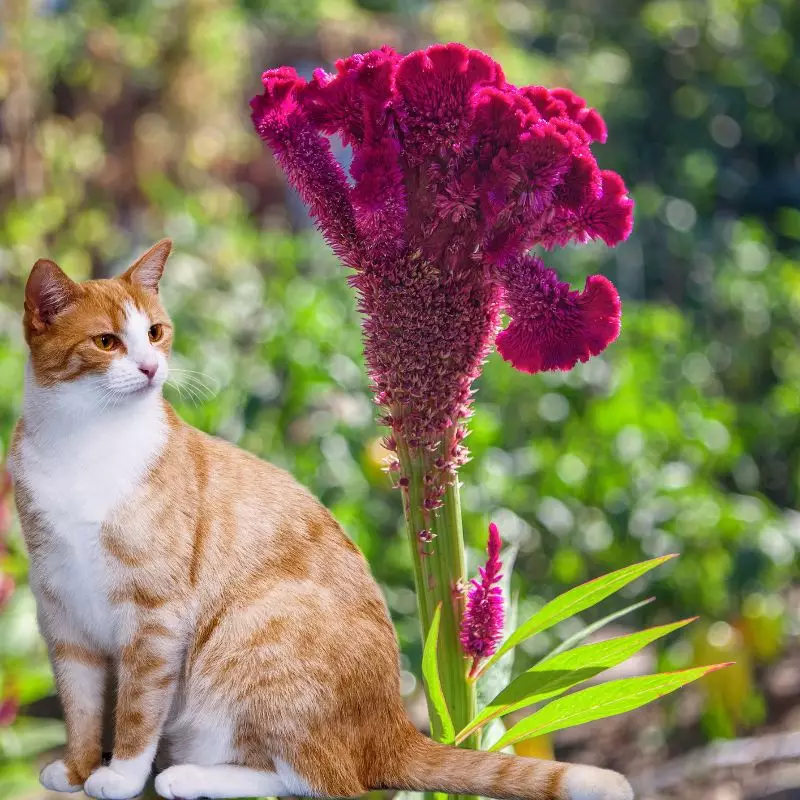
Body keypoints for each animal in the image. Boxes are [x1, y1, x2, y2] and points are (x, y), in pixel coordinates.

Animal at [6, 241, 632, 800]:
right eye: (106, 342)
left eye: (156, 332)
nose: (149, 366)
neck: (86, 443)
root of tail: (395, 726)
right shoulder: (64, 618)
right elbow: (81, 708)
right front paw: (80, 768)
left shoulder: (154, 618)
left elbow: (138, 709)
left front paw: (120, 777)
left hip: (255, 631)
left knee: (321, 779)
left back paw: (186, 778)